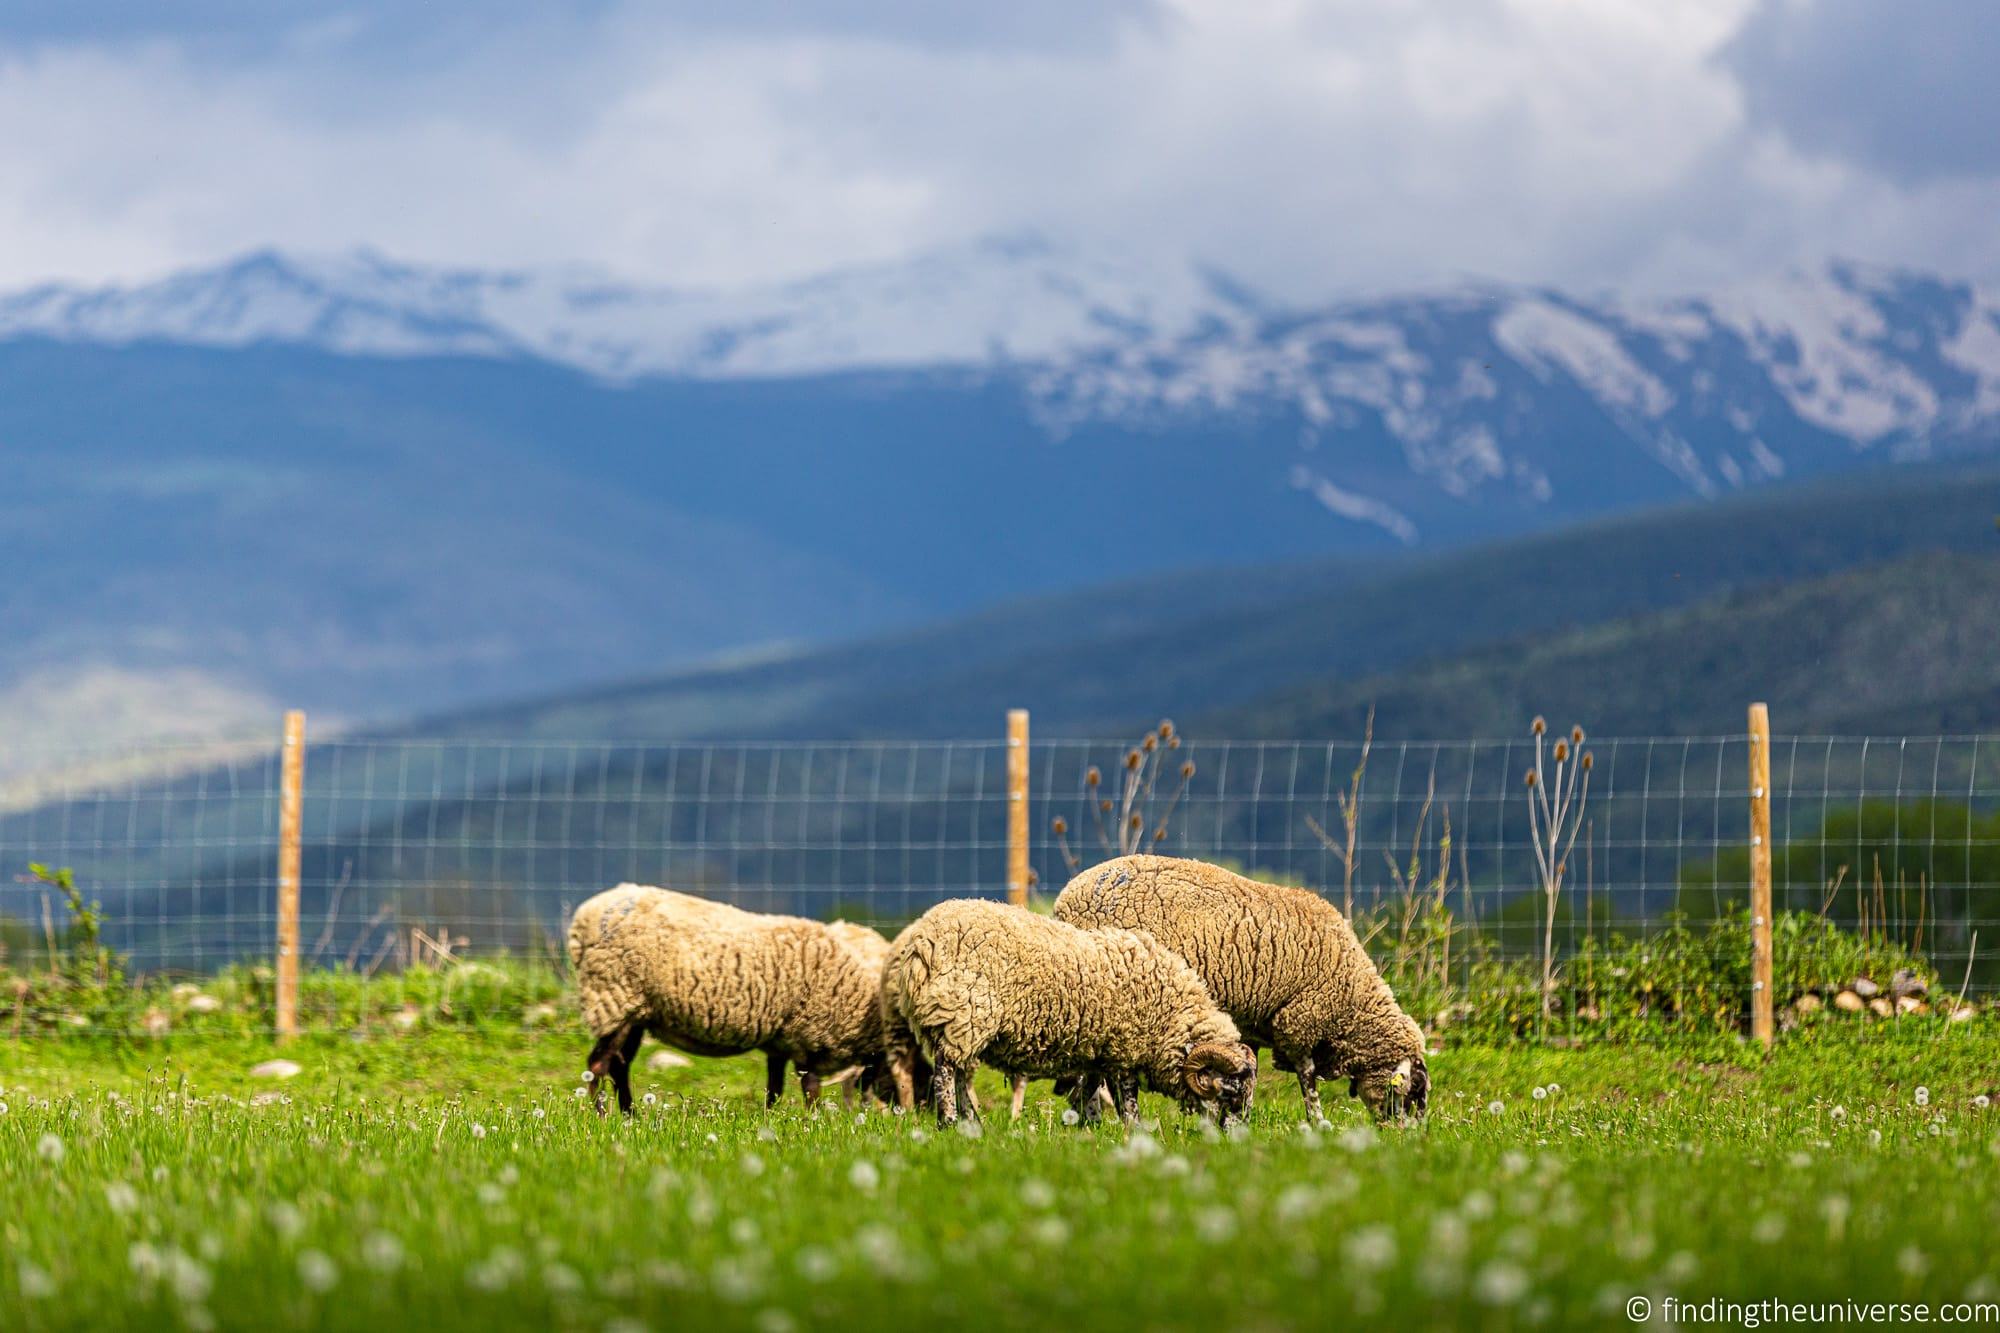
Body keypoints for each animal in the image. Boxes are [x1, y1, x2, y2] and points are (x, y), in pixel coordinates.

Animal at [566, 884, 888, 1115]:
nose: (896, 1114)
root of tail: (583, 920)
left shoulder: (782, 1041)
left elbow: (775, 1087)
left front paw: (771, 1118)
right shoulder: (806, 1035)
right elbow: (809, 1085)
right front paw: (813, 1119)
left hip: (635, 1012)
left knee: (619, 1065)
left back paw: (629, 1115)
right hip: (613, 996)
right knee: (598, 1064)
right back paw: (601, 1115)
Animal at [879, 898, 1256, 1127]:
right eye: (1231, 1090)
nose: (1234, 1136)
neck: (1170, 1015)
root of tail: (920, 942)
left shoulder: (1098, 1048)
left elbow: (1090, 1087)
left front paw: (1091, 1125)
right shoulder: (1125, 1046)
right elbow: (1128, 1096)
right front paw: (1133, 1129)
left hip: (957, 1021)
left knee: (958, 1071)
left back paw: (973, 1122)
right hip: (964, 1011)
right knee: (946, 1071)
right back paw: (949, 1122)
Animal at [1052, 855, 1428, 1122]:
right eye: (1412, 1092)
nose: (1406, 1136)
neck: (1352, 1003)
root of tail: (1068, 898)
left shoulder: (1253, 1025)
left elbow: (1252, 1076)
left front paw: (1239, 1121)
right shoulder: (1299, 1020)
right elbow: (1307, 1080)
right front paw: (1318, 1123)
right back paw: (1095, 1121)